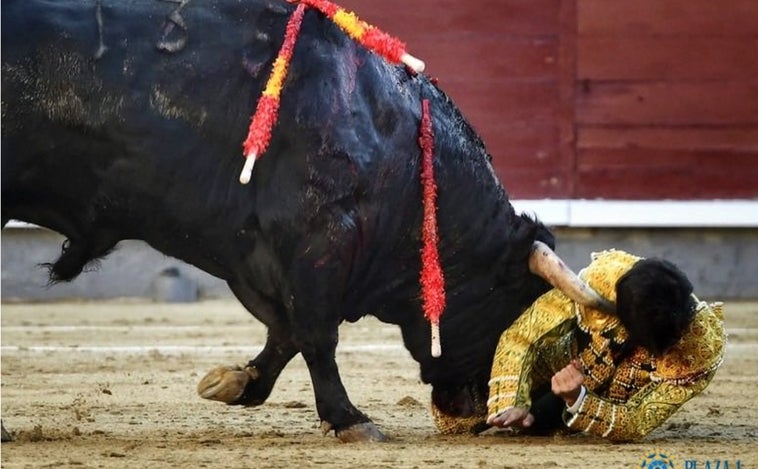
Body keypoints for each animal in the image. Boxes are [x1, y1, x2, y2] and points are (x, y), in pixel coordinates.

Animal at [0, 0, 560, 440]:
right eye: (513, 306)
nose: (538, 418)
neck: (396, 143)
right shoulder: (318, 238)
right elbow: (316, 333)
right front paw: (350, 419)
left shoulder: (257, 252)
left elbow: (287, 330)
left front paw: (236, 383)